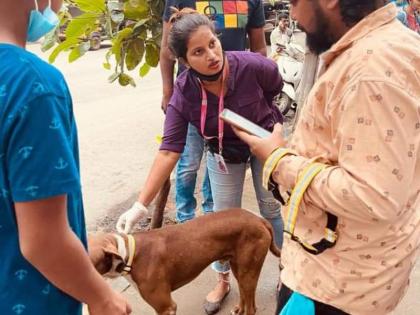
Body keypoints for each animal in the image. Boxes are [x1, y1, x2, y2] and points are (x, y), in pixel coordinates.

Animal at [88, 209, 280, 314]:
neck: (128, 252)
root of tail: (260, 220)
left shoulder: (167, 307)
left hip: (249, 271)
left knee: (252, 306)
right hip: (239, 268)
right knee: (244, 294)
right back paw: (239, 308)